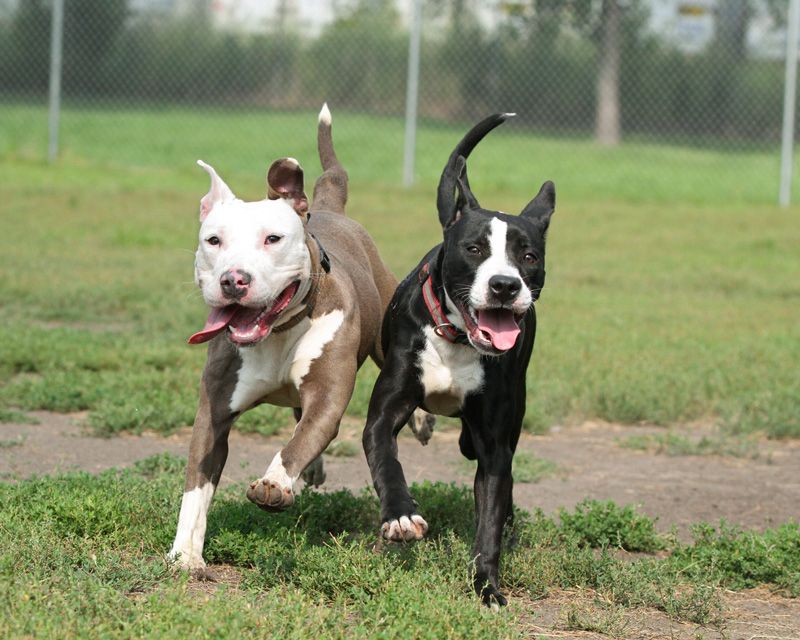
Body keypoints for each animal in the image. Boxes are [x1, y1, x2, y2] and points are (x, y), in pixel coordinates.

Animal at [362, 112, 556, 608]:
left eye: (529, 256)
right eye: (474, 249)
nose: (505, 285)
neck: (459, 341)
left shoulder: (493, 444)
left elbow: (489, 517)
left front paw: (487, 586)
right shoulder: (384, 411)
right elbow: (385, 457)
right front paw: (400, 516)